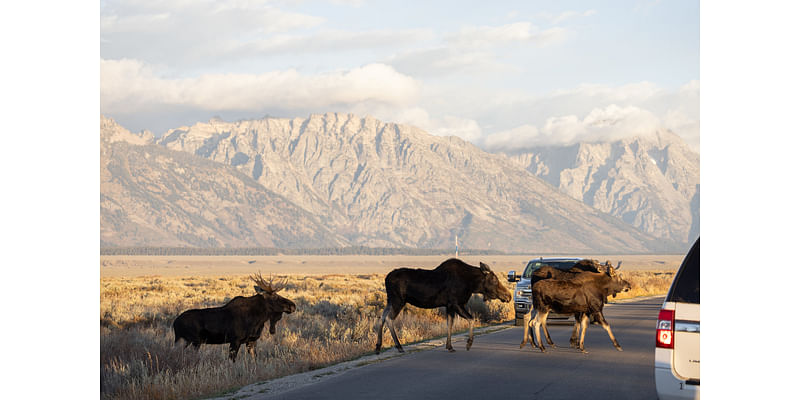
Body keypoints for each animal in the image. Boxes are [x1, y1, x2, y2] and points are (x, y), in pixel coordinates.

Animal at [376, 256, 512, 354]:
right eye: (494, 279)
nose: (508, 295)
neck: (472, 285)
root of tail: (386, 279)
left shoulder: (449, 306)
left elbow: (450, 324)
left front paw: (449, 346)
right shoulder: (456, 303)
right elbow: (471, 319)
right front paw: (468, 343)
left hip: (390, 300)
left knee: (382, 317)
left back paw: (378, 347)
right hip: (398, 300)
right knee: (389, 318)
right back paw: (399, 346)